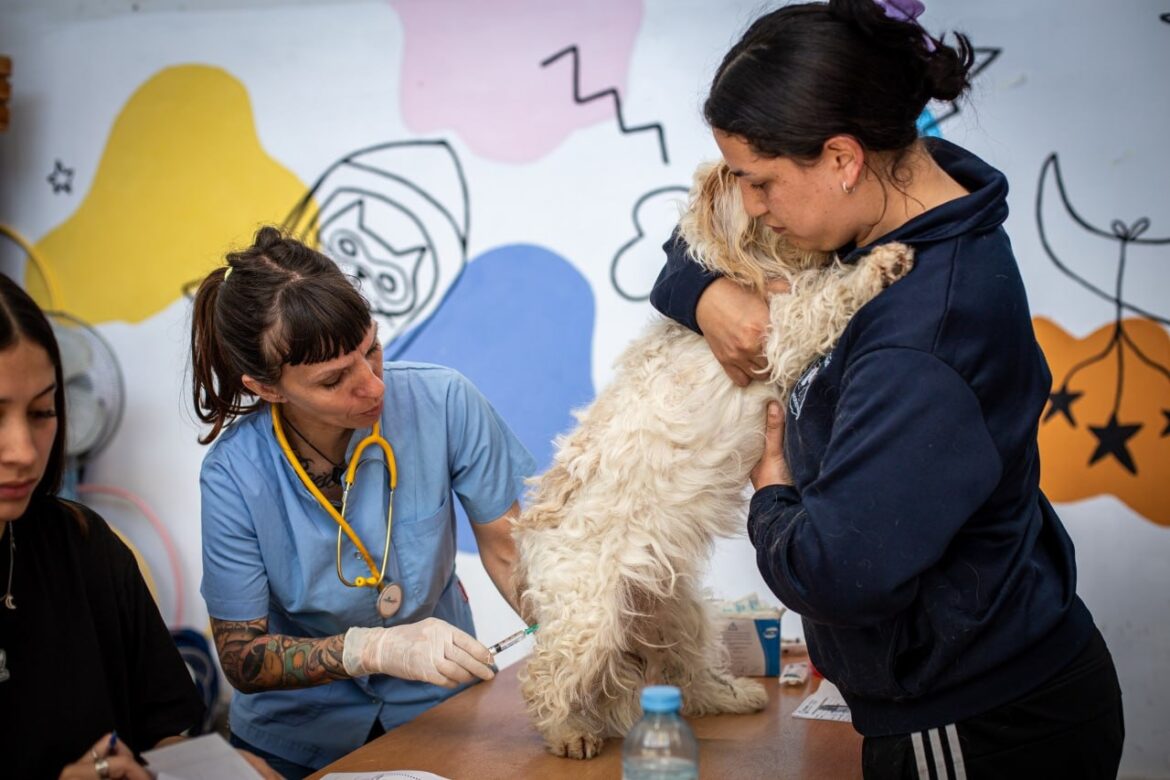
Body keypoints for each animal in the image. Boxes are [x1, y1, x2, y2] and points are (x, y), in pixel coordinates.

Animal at [514, 161, 912, 757]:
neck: (762, 270)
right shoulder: (777, 331)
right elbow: (823, 298)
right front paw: (878, 267)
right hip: (587, 620)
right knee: (545, 680)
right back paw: (568, 731)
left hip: (680, 614)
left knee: (686, 674)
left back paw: (731, 695)